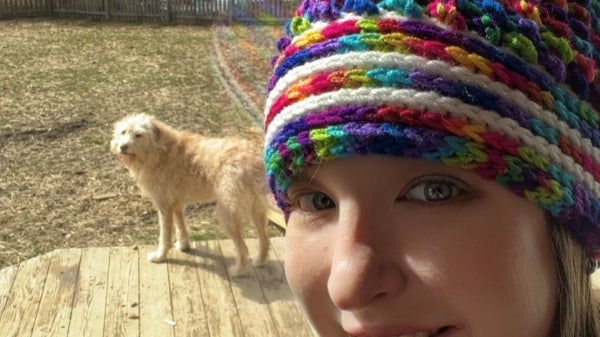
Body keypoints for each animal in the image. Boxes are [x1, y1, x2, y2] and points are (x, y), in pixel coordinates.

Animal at [110, 113, 270, 276]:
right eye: (123, 132)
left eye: (138, 135)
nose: (122, 146)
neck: (159, 149)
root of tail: (255, 160)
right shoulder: (176, 203)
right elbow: (181, 225)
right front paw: (183, 245)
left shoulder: (164, 206)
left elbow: (164, 235)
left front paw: (160, 256)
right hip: (256, 210)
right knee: (264, 238)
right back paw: (260, 261)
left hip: (228, 214)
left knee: (243, 249)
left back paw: (237, 271)